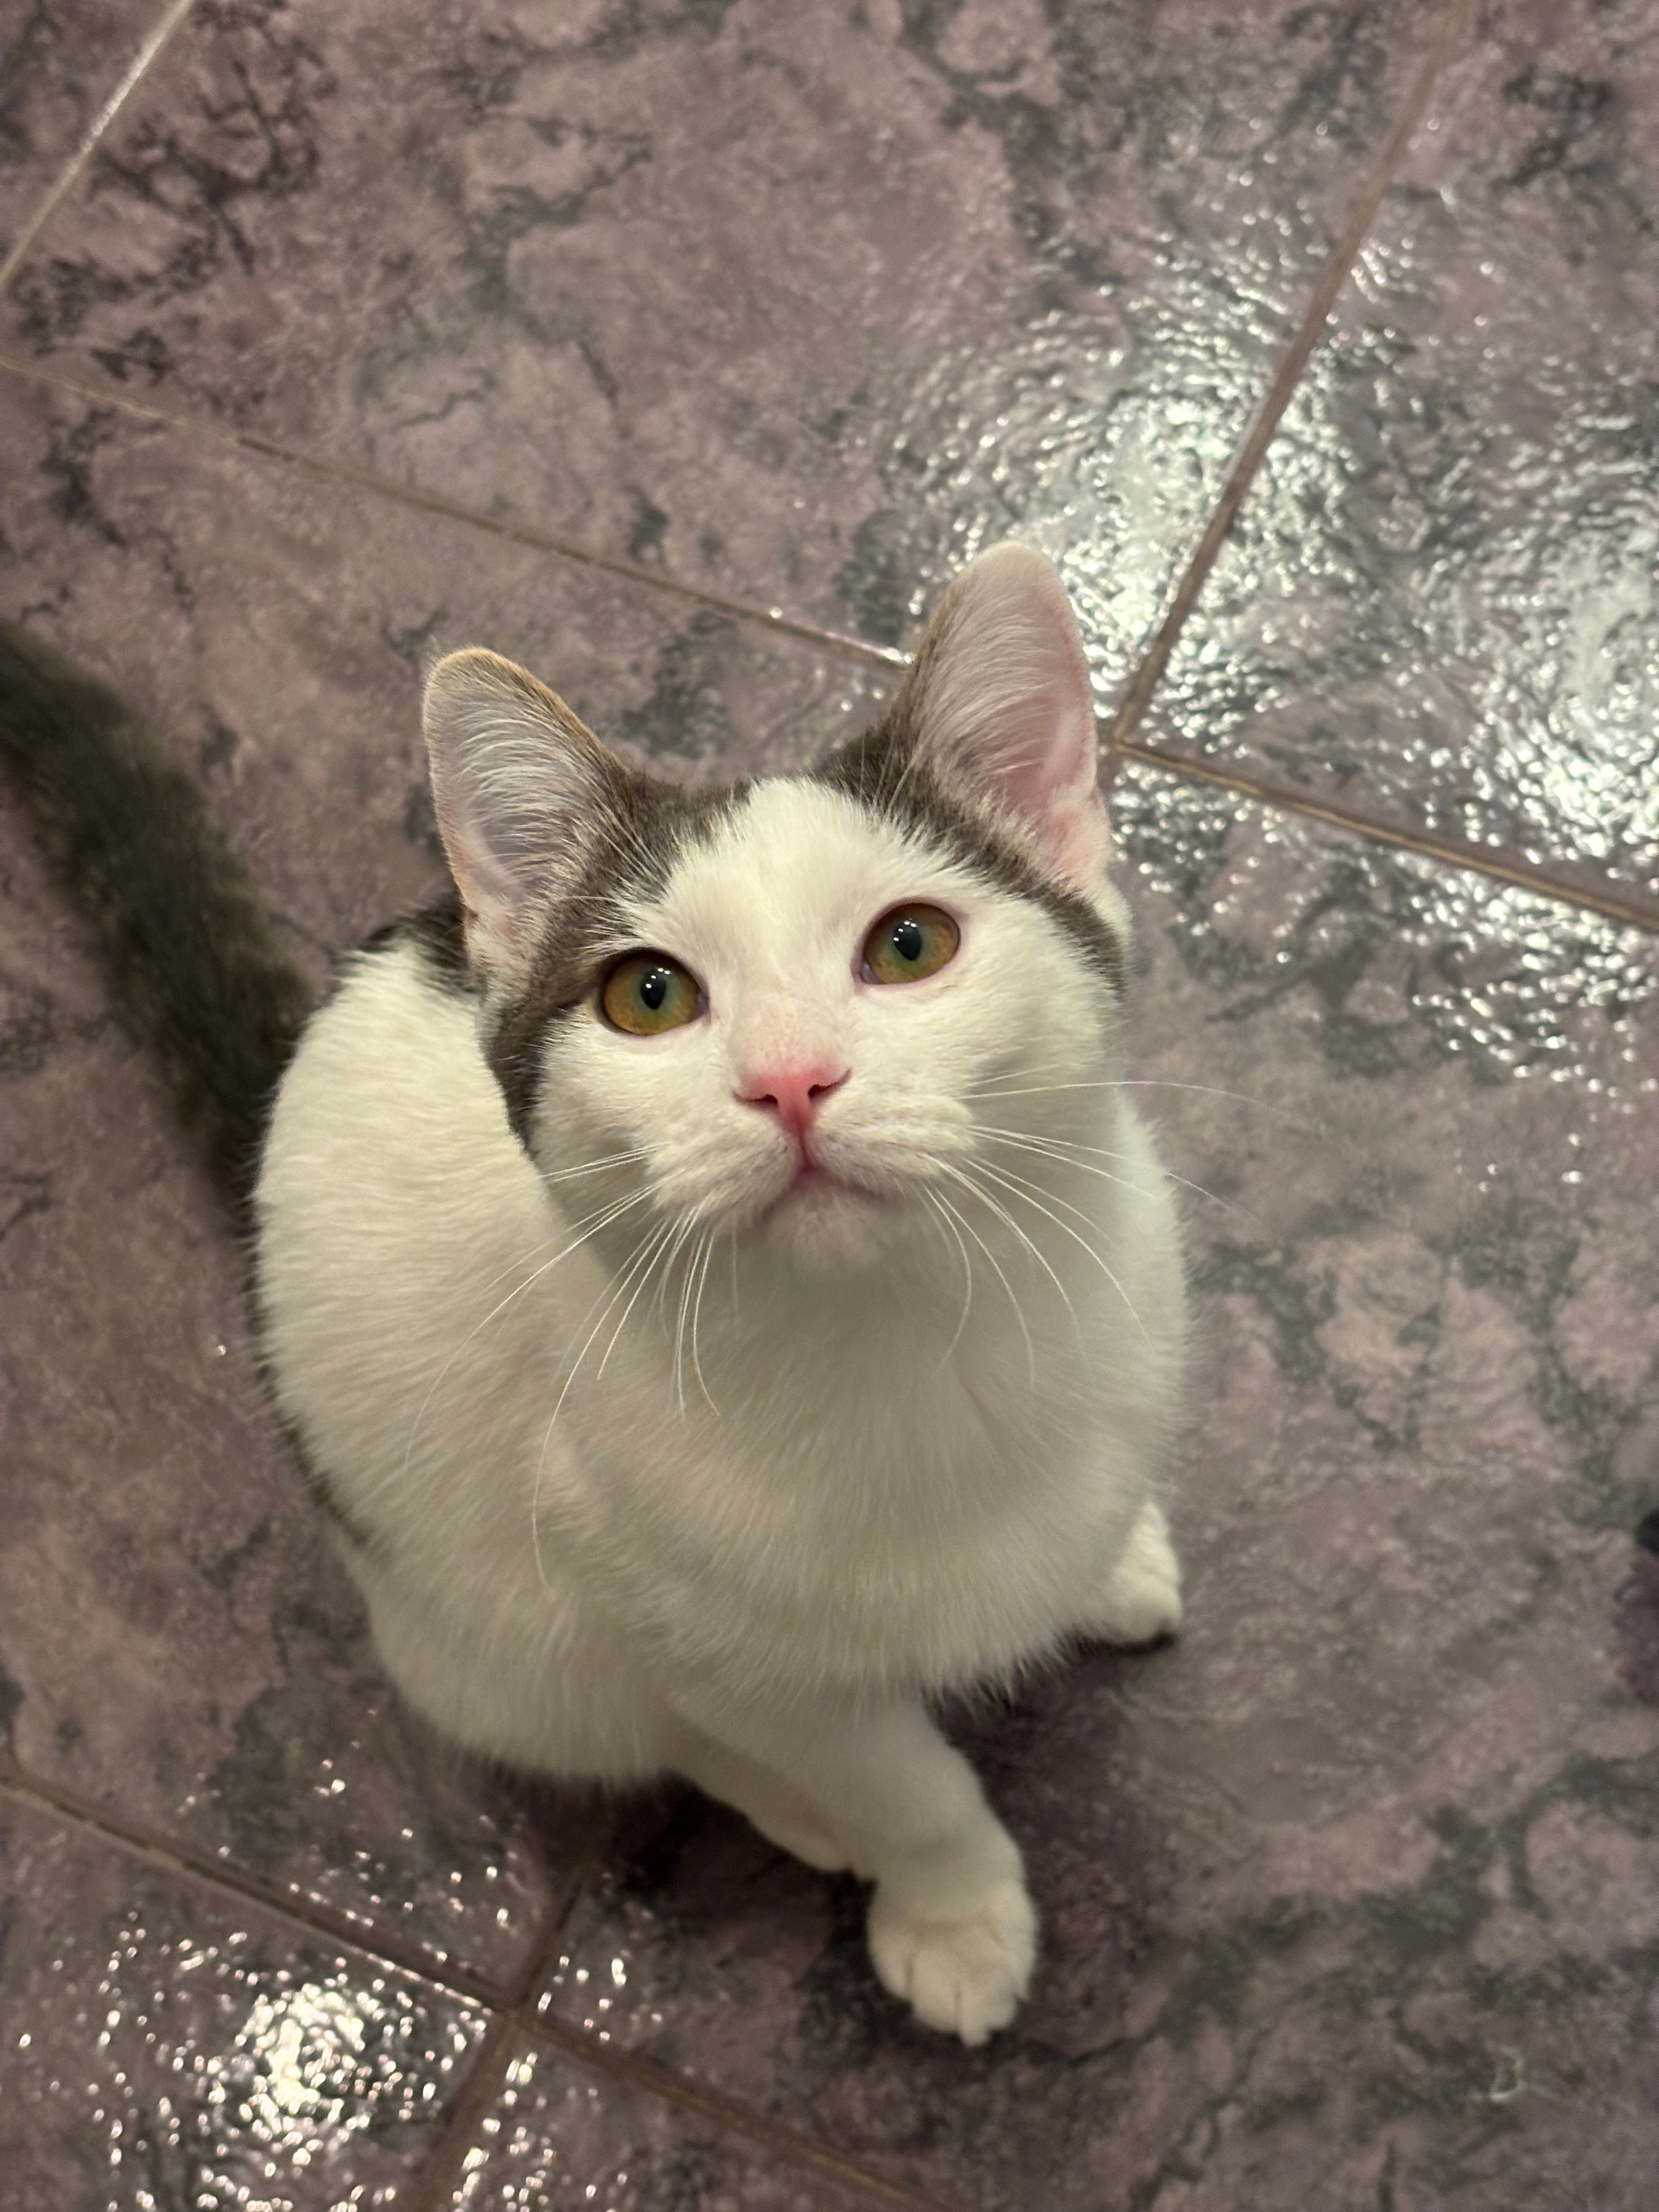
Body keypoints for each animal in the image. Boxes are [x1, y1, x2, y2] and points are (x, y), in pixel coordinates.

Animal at [1, 544, 1187, 2044]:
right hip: (480, 1632)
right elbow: (892, 1777)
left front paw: (1109, 1552)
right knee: (640, 1722)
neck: (903, 1338)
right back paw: (797, 1817)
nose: (789, 1081)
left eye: (911, 945)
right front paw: (953, 1906)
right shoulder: (689, 1613)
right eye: (649, 997)